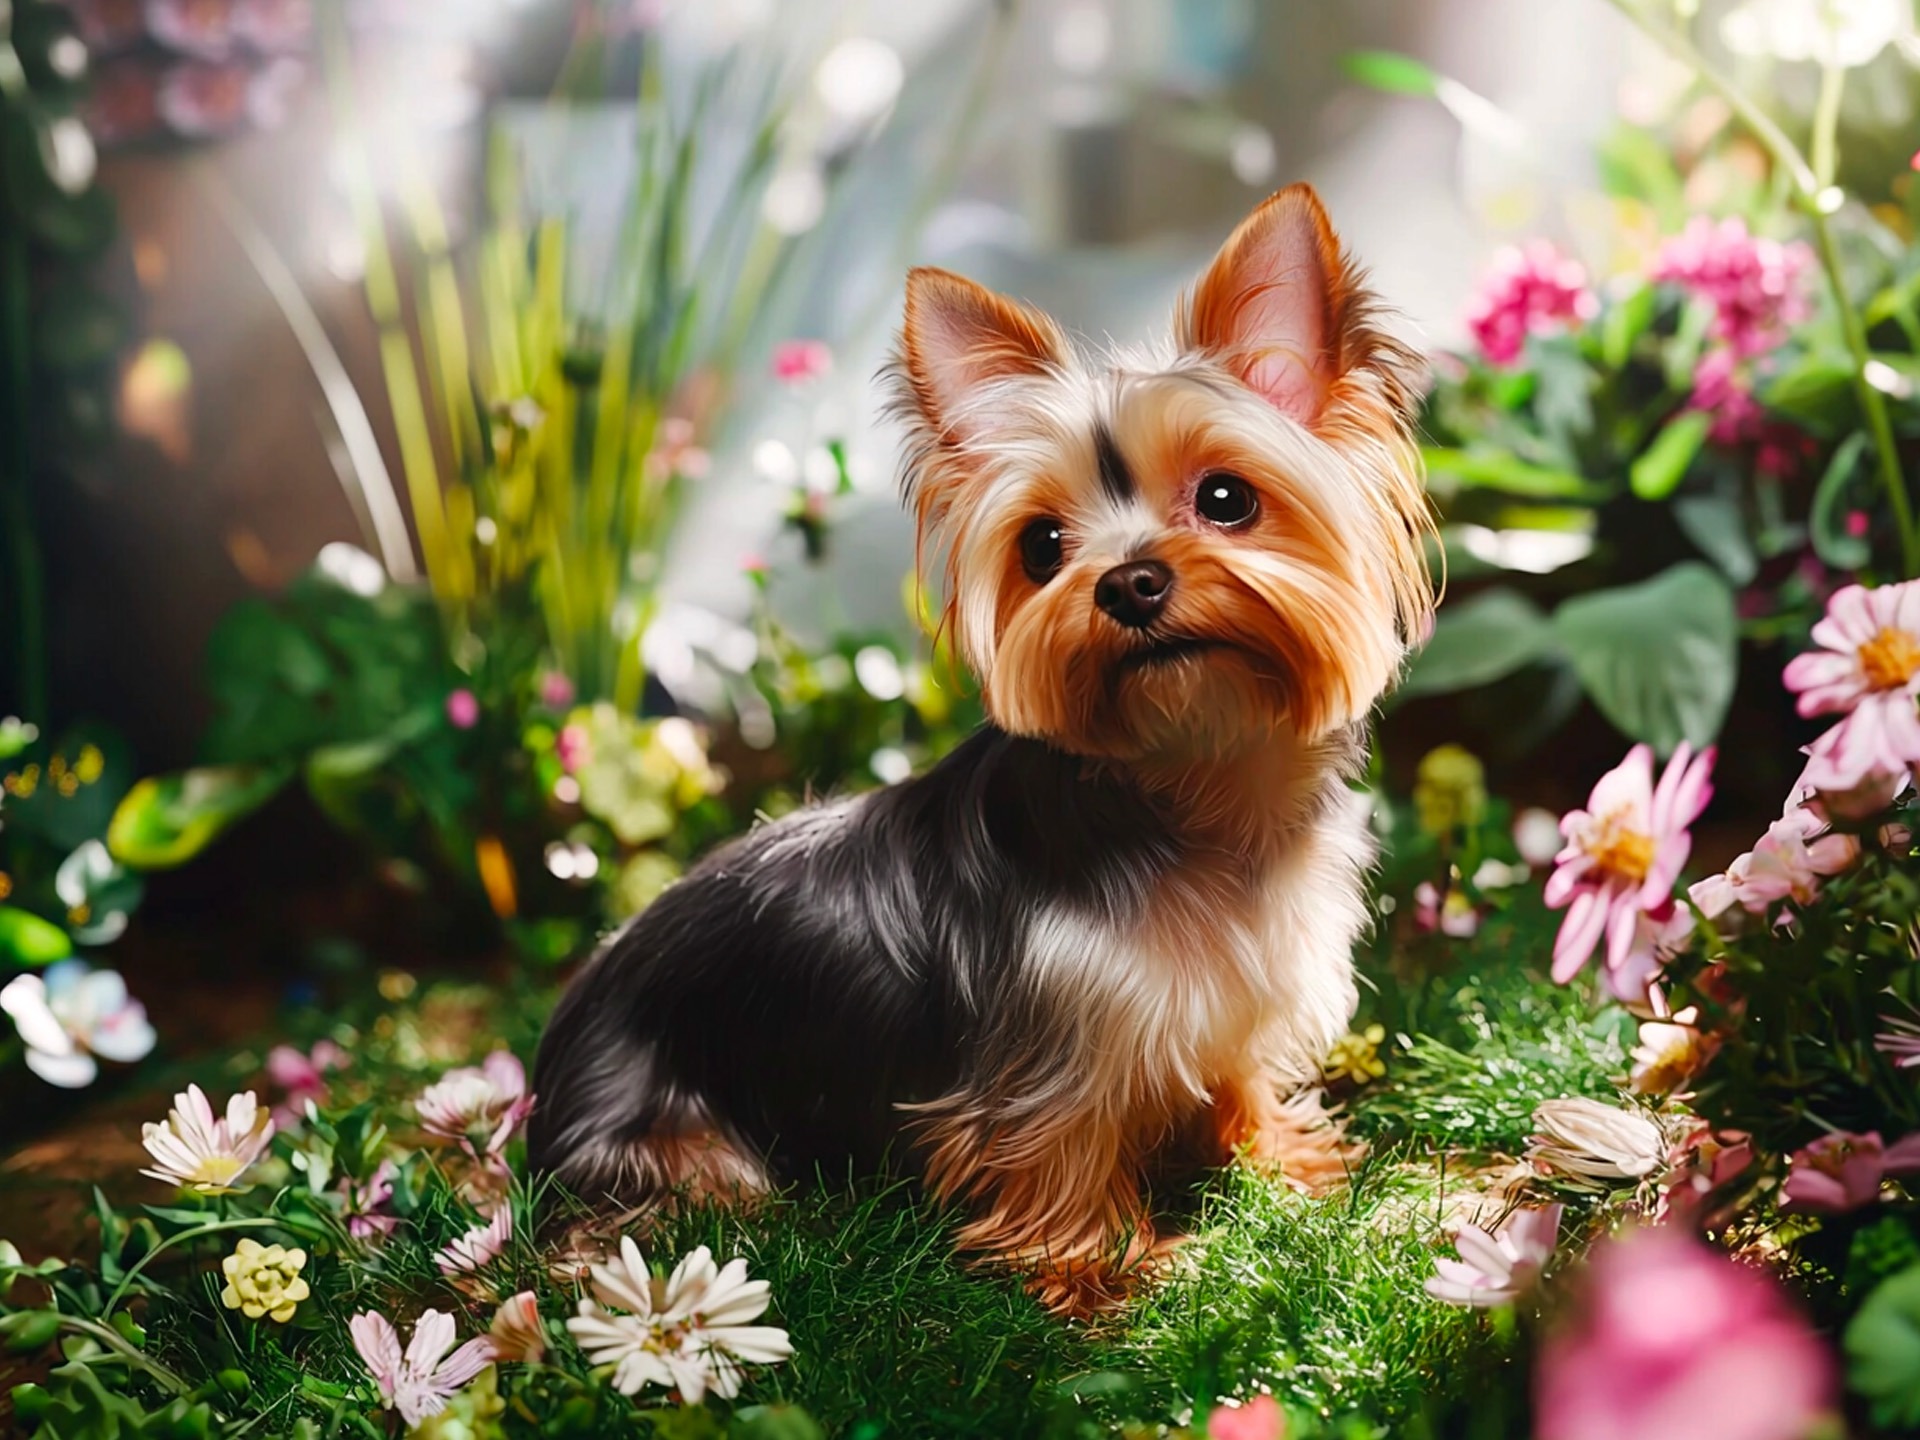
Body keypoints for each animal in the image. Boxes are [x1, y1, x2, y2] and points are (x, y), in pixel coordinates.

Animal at [533, 183, 1436, 1320]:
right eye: (1042, 547)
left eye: (1228, 497)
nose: (1129, 582)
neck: (1189, 780)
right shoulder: (1050, 1046)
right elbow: (1058, 1145)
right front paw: (1104, 1269)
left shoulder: (1240, 984)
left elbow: (1233, 1077)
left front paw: (1282, 1160)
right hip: (678, 1149)